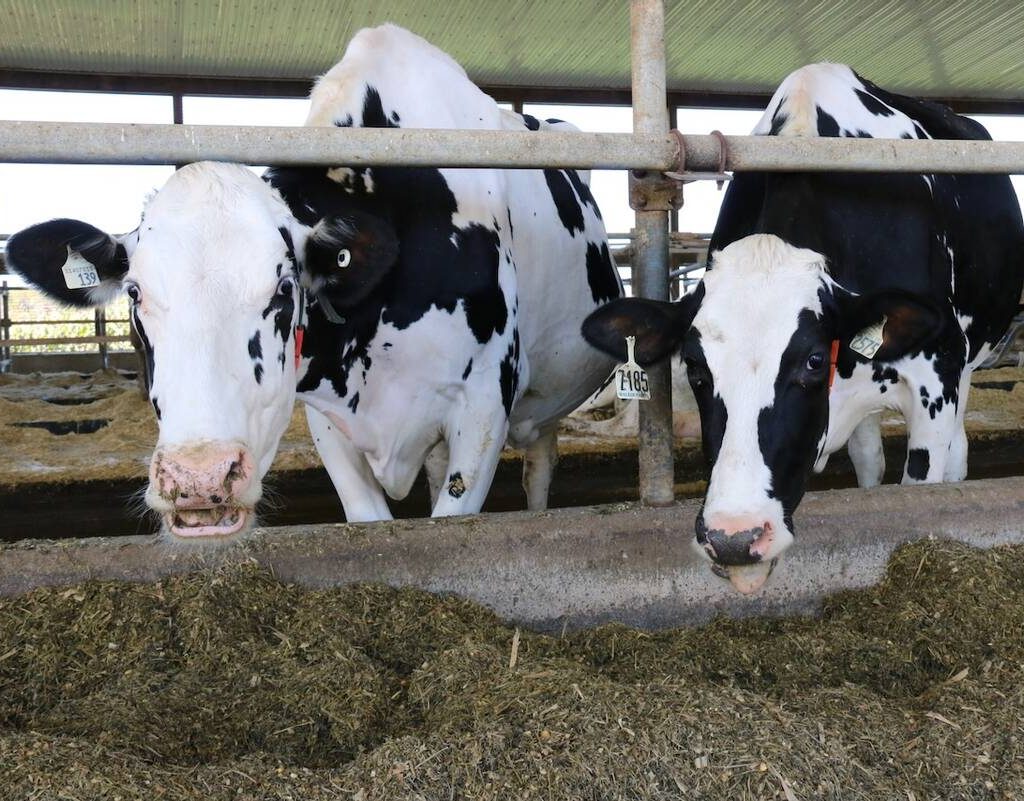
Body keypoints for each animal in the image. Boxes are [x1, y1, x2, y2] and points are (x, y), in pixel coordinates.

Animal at [5, 24, 621, 538]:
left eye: (284, 290)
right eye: (134, 293)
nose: (201, 476)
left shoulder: (484, 406)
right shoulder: (329, 418)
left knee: (539, 466)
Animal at [583, 63, 1024, 594]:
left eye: (814, 360)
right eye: (693, 366)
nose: (735, 537)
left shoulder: (936, 379)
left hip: (968, 365)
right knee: (869, 457)